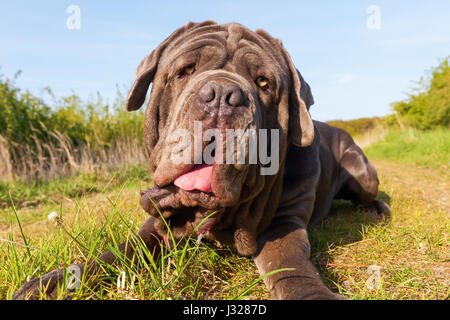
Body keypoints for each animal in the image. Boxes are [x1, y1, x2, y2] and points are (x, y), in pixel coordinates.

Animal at [12, 20, 388, 300]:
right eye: (183, 71)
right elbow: (118, 252)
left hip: (362, 173)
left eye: (264, 83)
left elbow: (293, 267)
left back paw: (377, 208)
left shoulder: (285, 224)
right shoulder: (157, 225)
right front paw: (55, 281)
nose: (222, 95)